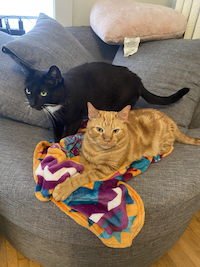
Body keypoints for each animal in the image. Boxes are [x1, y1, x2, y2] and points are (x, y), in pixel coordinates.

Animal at [23, 62, 189, 142]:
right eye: (28, 91)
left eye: (43, 93)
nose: (32, 104)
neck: (56, 105)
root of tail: (138, 79)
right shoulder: (55, 121)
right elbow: (57, 135)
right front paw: (56, 146)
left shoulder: (75, 119)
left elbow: (68, 134)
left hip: (119, 104)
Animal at [52, 102, 200, 201]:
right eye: (99, 129)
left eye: (115, 131)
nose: (107, 139)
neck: (98, 151)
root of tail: (171, 120)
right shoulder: (84, 155)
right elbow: (83, 165)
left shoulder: (106, 168)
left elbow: (83, 176)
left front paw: (65, 186)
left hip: (162, 145)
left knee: (169, 146)